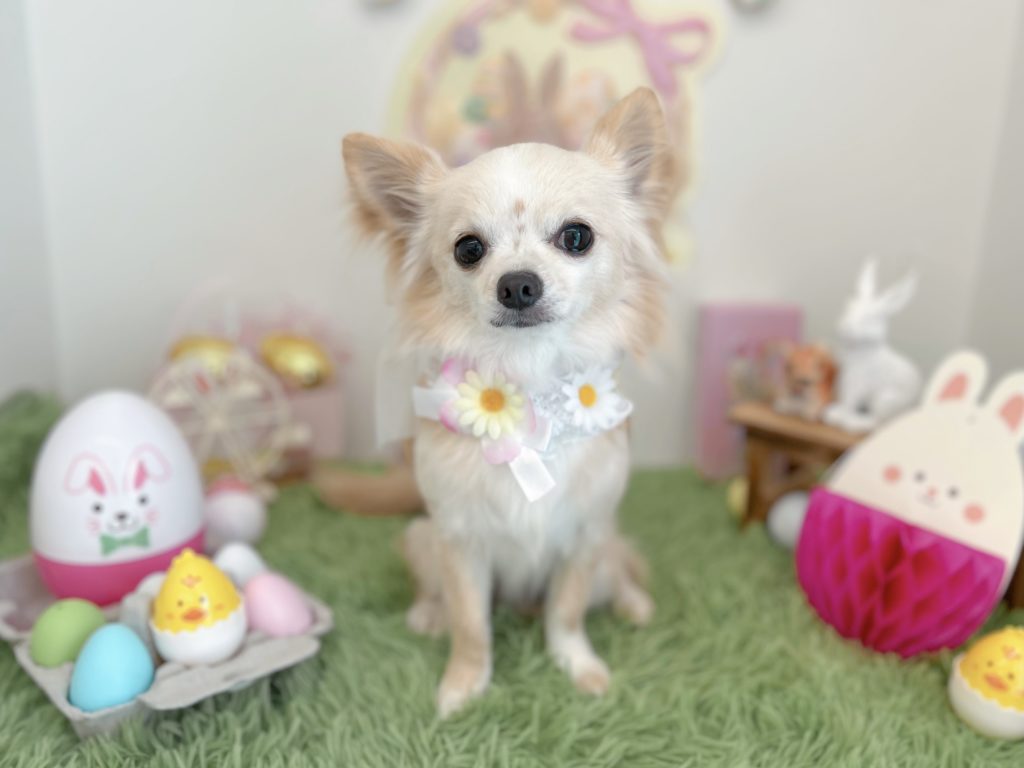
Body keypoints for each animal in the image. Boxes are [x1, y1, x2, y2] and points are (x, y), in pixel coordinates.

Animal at [335, 87, 675, 716]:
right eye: (469, 249)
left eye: (576, 236)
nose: (517, 283)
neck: (528, 386)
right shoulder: (459, 541)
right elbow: (472, 625)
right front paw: (464, 686)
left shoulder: (586, 534)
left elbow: (566, 613)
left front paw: (579, 667)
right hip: (421, 539)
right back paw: (428, 613)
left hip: (607, 545)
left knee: (618, 571)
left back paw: (633, 602)